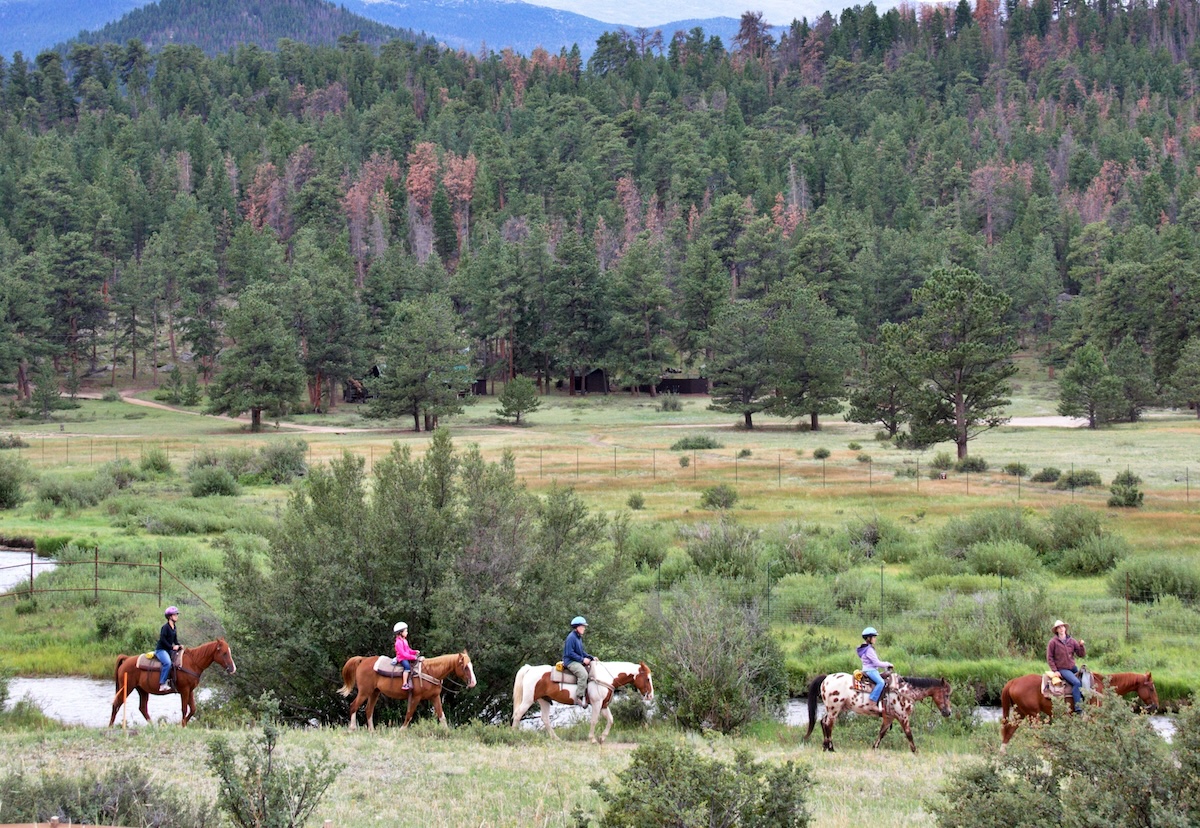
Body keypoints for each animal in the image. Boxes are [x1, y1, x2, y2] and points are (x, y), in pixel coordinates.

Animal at [109, 633, 237, 724]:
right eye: (224, 653)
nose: (233, 669)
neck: (192, 662)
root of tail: (126, 659)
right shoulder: (184, 690)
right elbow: (184, 709)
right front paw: (182, 725)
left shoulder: (190, 690)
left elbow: (193, 709)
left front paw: (183, 724)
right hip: (126, 687)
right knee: (116, 704)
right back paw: (110, 726)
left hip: (142, 690)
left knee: (142, 708)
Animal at [338, 652, 477, 729]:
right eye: (465, 667)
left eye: (471, 666)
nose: (473, 683)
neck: (431, 671)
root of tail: (363, 659)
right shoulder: (416, 697)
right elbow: (409, 715)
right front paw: (401, 731)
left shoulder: (435, 697)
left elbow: (442, 716)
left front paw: (447, 732)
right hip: (364, 691)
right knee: (354, 705)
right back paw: (352, 728)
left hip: (374, 692)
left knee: (368, 710)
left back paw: (372, 731)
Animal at [508, 657, 652, 744]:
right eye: (647, 678)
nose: (650, 696)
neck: (604, 676)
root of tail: (530, 669)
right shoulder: (596, 703)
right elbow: (594, 720)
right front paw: (592, 739)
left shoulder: (603, 705)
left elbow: (610, 720)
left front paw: (602, 738)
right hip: (528, 700)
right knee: (518, 714)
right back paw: (514, 736)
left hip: (544, 700)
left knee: (545, 719)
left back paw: (556, 739)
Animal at [806, 667, 955, 753]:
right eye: (947, 694)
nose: (948, 712)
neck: (904, 691)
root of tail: (826, 678)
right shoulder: (903, 717)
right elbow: (909, 734)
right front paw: (915, 751)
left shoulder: (889, 718)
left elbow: (881, 733)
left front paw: (874, 748)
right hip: (834, 709)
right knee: (828, 725)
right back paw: (831, 748)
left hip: (834, 709)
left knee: (823, 722)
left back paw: (825, 747)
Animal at [998, 662, 1156, 748]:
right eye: (1151, 688)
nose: (1155, 706)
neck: (1101, 687)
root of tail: (1013, 682)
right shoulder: (1095, 718)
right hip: (1033, 715)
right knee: (1038, 736)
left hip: (1021, 713)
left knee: (1008, 733)